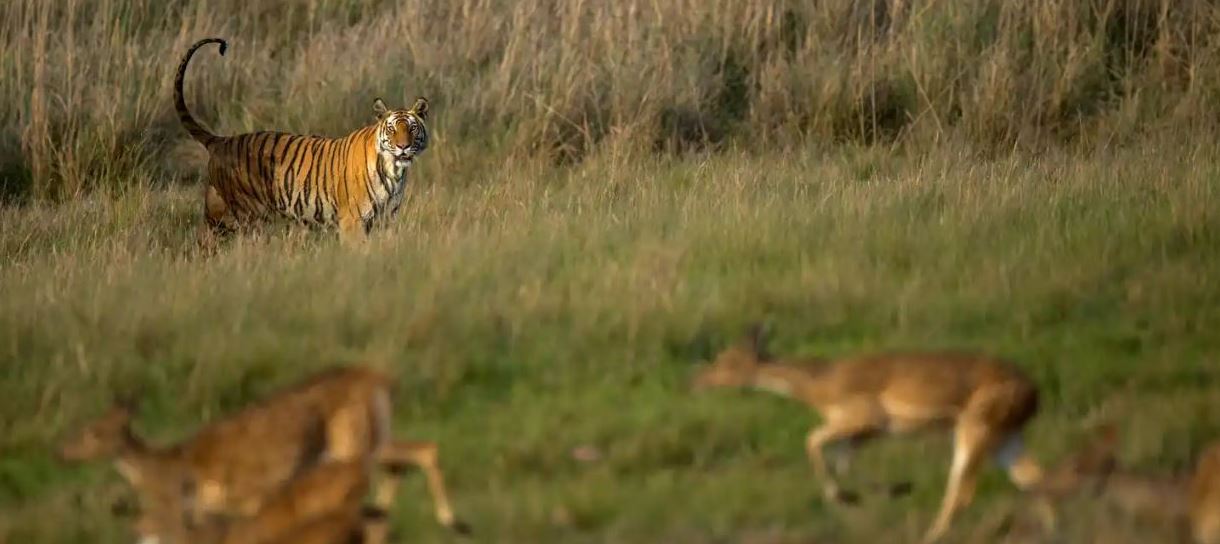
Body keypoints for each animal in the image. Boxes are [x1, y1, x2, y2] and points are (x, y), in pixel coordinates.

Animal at [174, 37, 430, 246]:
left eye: (412, 128)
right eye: (392, 129)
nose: (403, 146)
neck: (394, 171)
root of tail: (222, 140)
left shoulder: (386, 219)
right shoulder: (353, 221)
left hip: (217, 213)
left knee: (203, 240)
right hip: (250, 215)